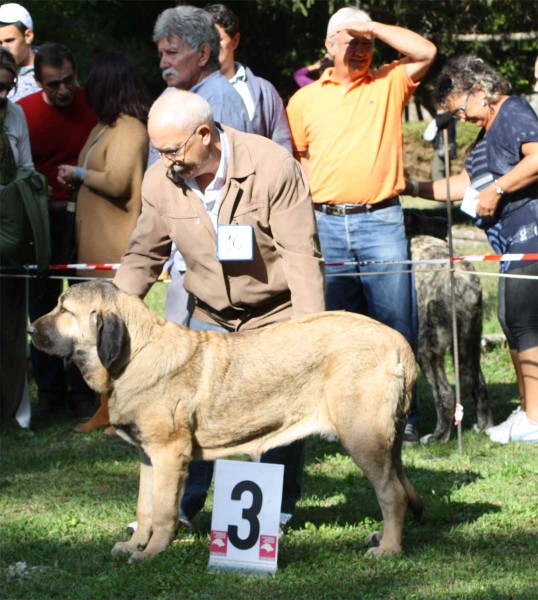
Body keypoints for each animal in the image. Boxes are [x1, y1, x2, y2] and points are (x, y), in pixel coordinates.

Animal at [28, 282, 422, 564]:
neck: (135, 354)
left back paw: (388, 549)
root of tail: (397, 341)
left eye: (64, 310)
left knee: (391, 493)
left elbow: (163, 511)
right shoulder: (147, 457)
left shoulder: (169, 455)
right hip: (386, 444)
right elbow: (145, 506)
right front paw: (133, 544)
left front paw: (152, 552)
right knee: (401, 488)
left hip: (363, 438)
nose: (30, 330)